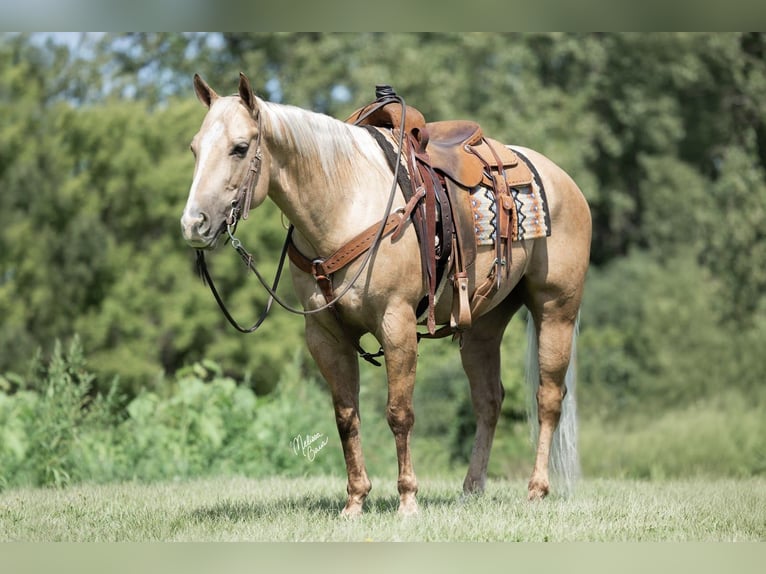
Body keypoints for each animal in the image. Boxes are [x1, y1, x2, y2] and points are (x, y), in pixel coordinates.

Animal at [180, 74, 592, 520]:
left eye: (240, 148)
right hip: (484, 324)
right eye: (194, 148)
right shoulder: (324, 335)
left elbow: (399, 413)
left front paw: (408, 500)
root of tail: (560, 179)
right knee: (488, 400)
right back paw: (471, 488)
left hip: (556, 309)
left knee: (548, 398)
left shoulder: (396, 324)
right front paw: (355, 501)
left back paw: (537, 489)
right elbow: (346, 416)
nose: (193, 224)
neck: (344, 203)